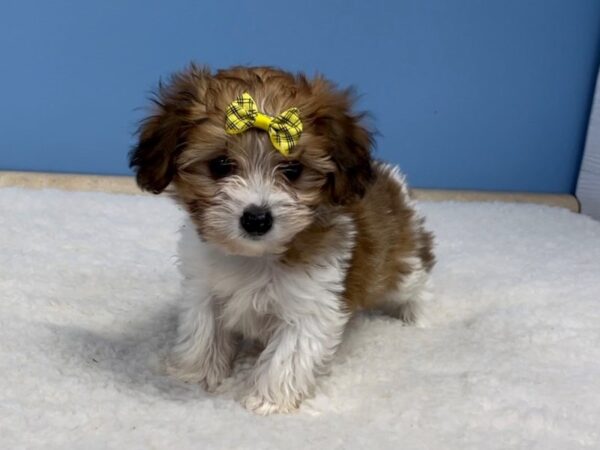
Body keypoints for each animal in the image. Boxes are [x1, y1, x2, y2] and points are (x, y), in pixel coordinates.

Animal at [130, 64, 436, 414]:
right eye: (220, 165)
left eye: (292, 170)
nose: (256, 218)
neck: (255, 256)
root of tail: (390, 181)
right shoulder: (203, 289)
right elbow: (203, 332)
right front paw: (195, 375)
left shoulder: (311, 304)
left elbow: (289, 355)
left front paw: (268, 400)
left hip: (402, 262)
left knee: (417, 283)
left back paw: (418, 318)